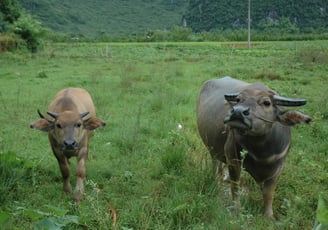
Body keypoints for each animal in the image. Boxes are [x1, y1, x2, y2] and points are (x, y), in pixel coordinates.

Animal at [196, 77, 312, 219]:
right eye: (238, 99)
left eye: (267, 102)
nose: (237, 112)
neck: (261, 151)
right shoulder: (233, 159)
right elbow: (235, 187)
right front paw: (236, 210)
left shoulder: (278, 167)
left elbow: (269, 193)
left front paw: (269, 216)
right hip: (212, 148)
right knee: (215, 163)